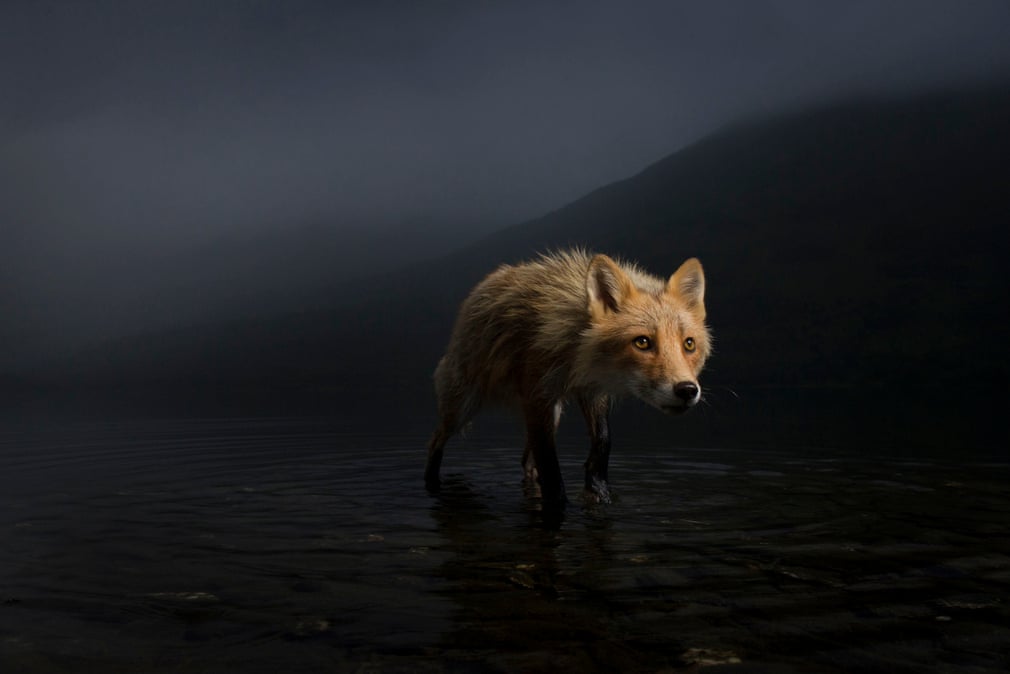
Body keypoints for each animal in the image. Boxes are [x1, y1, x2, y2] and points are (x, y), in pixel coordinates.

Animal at [422, 250, 707, 509]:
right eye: (643, 342)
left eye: (689, 344)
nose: (687, 390)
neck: (577, 355)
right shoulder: (538, 395)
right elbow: (550, 465)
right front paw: (559, 503)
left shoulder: (591, 391)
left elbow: (603, 441)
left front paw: (598, 489)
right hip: (462, 408)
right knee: (435, 441)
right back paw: (431, 484)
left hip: (554, 412)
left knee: (527, 461)